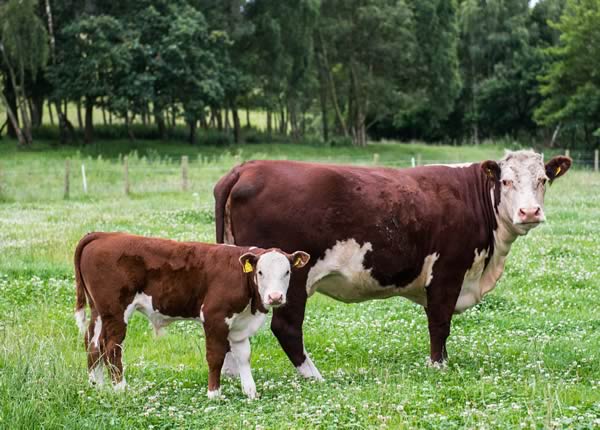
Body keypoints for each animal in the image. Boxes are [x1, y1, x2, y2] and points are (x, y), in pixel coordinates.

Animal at [74, 233, 310, 398]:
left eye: (287, 272)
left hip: (98, 311)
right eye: (260, 272)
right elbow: (215, 357)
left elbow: (244, 356)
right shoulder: (214, 316)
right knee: (111, 348)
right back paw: (121, 389)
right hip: (116, 311)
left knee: (93, 345)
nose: (275, 297)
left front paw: (251, 392)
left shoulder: (240, 324)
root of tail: (104, 235)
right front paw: (214, 394)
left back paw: (97, 387)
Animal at [216, 149, 572, 378]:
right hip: (292, 275)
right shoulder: (447, 271)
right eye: (506, 182)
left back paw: (232, 374)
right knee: (287, 327)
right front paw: (438, 365)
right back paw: (314, 375)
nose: (530, 212)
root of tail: (247, 167)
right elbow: (440, 322)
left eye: (542, 180)